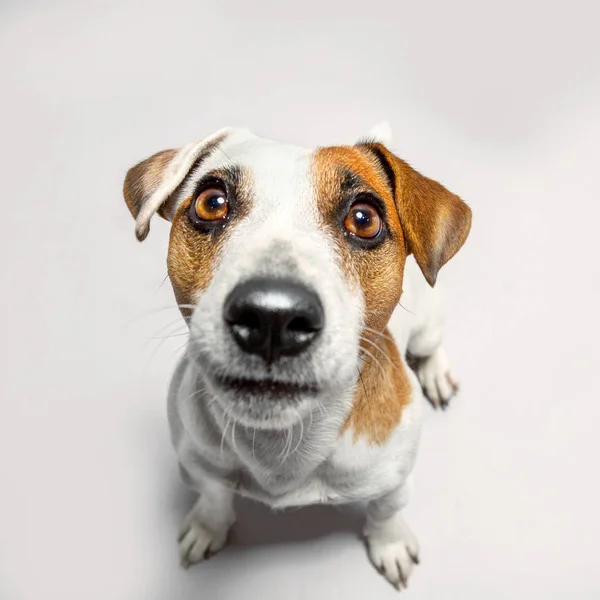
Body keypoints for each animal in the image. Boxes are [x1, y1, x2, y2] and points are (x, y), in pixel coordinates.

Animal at [123, 123, 474, 592]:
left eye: (364, 219)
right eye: (211, 202)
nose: (272, 315)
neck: (282, 444)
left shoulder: (394, 483)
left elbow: (385, 513)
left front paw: (390, 544)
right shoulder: (197, 464)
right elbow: (214, 497)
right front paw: (207, 526)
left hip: (427, 325)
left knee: (430, 346)